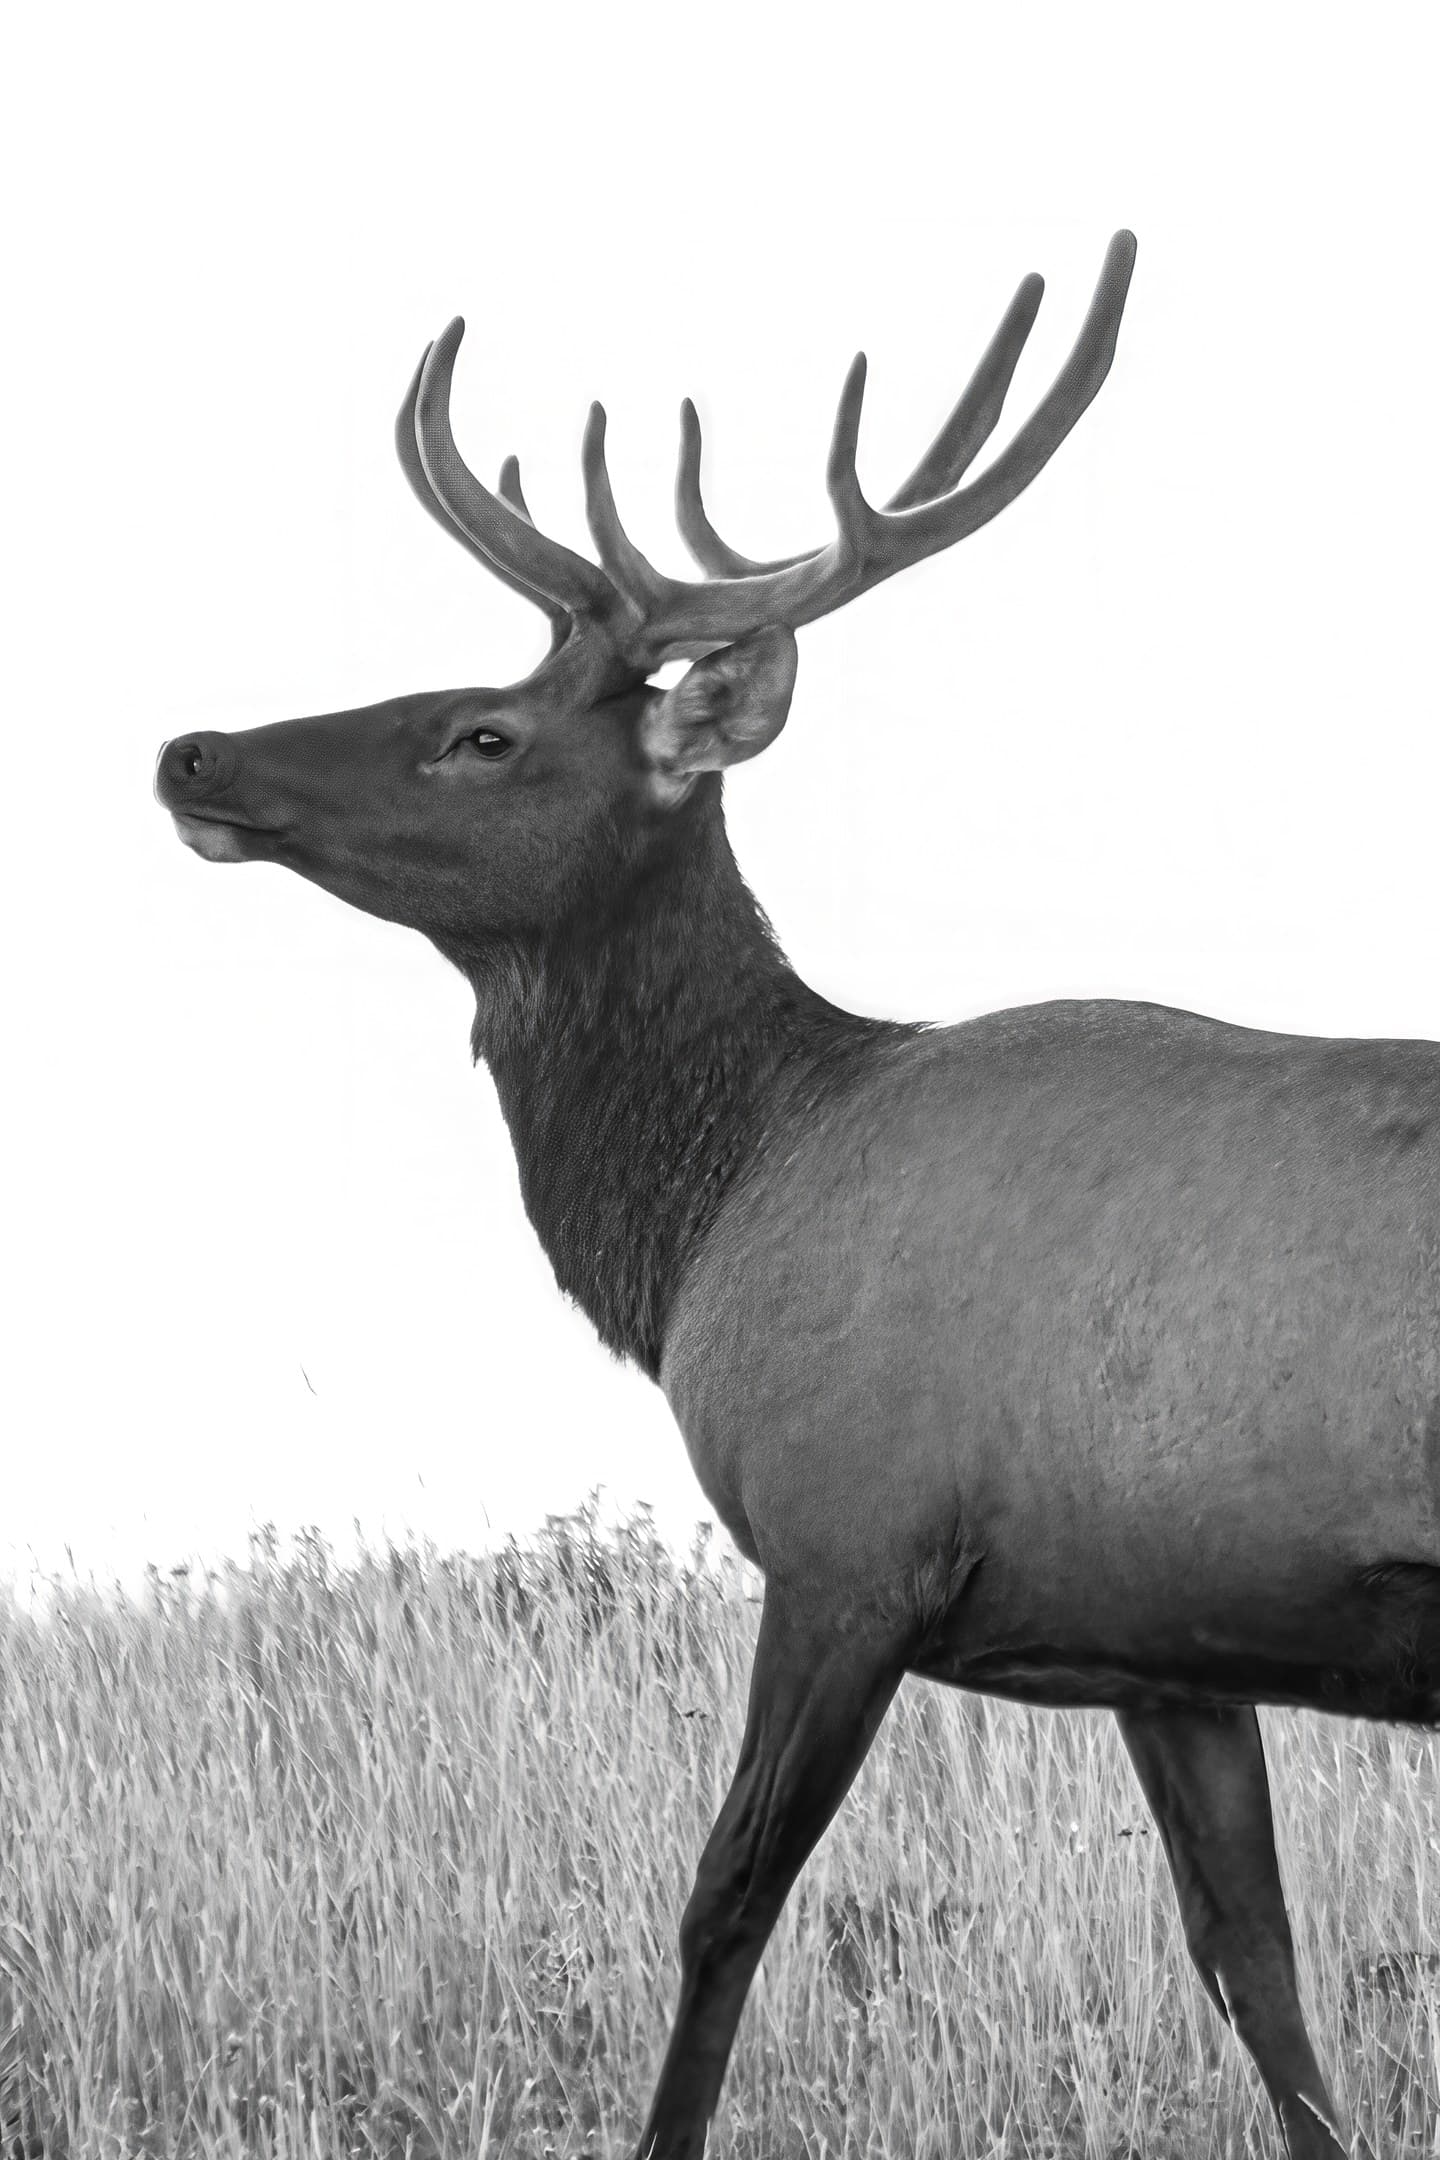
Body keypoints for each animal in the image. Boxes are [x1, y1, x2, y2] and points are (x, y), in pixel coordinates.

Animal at [154, 229, 1439, 2159]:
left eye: (483, 732)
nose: (197, 756)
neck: (726, 1195)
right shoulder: (1169, 1642)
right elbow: (1257, 1975)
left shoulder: (848, 1545)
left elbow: (720, 1912)